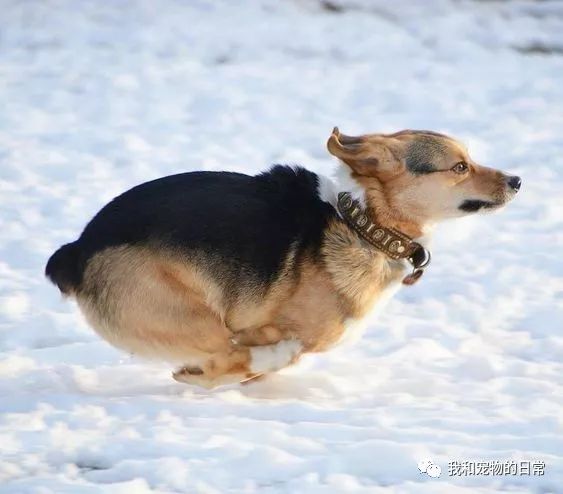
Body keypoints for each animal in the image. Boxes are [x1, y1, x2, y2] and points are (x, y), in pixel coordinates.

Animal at [46, 128, 524, 390]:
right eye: (459, 167)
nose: (517, 180)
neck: (363, 222)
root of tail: (78, 250)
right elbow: (260, 357)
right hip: (193, 317)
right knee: (234, 356)